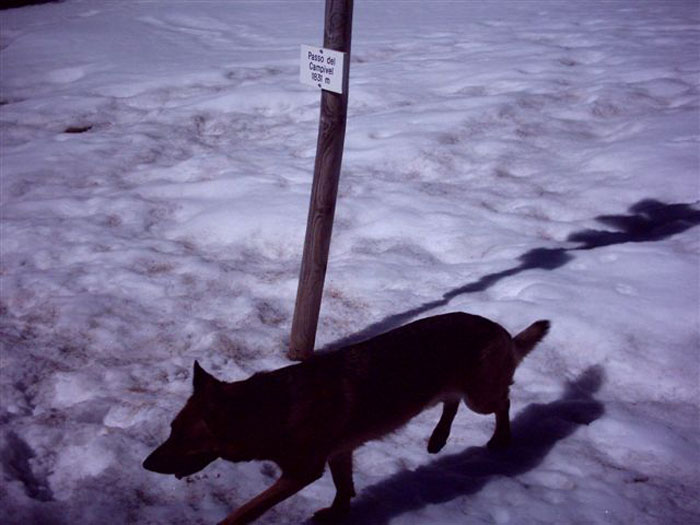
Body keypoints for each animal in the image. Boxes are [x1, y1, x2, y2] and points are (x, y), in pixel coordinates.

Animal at [141, 314, 548, 520]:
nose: (145, 465)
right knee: (452, 401)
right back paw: (437, 439)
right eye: (170, 430)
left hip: (482, 396)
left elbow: (247, 510)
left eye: (182, 437)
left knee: (503, 401)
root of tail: (500, 329)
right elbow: (344, 487)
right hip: (456, 389)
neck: (271, 409)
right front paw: (339, 512)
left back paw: (501, 439)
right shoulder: (340, 453)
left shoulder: (301, 472)